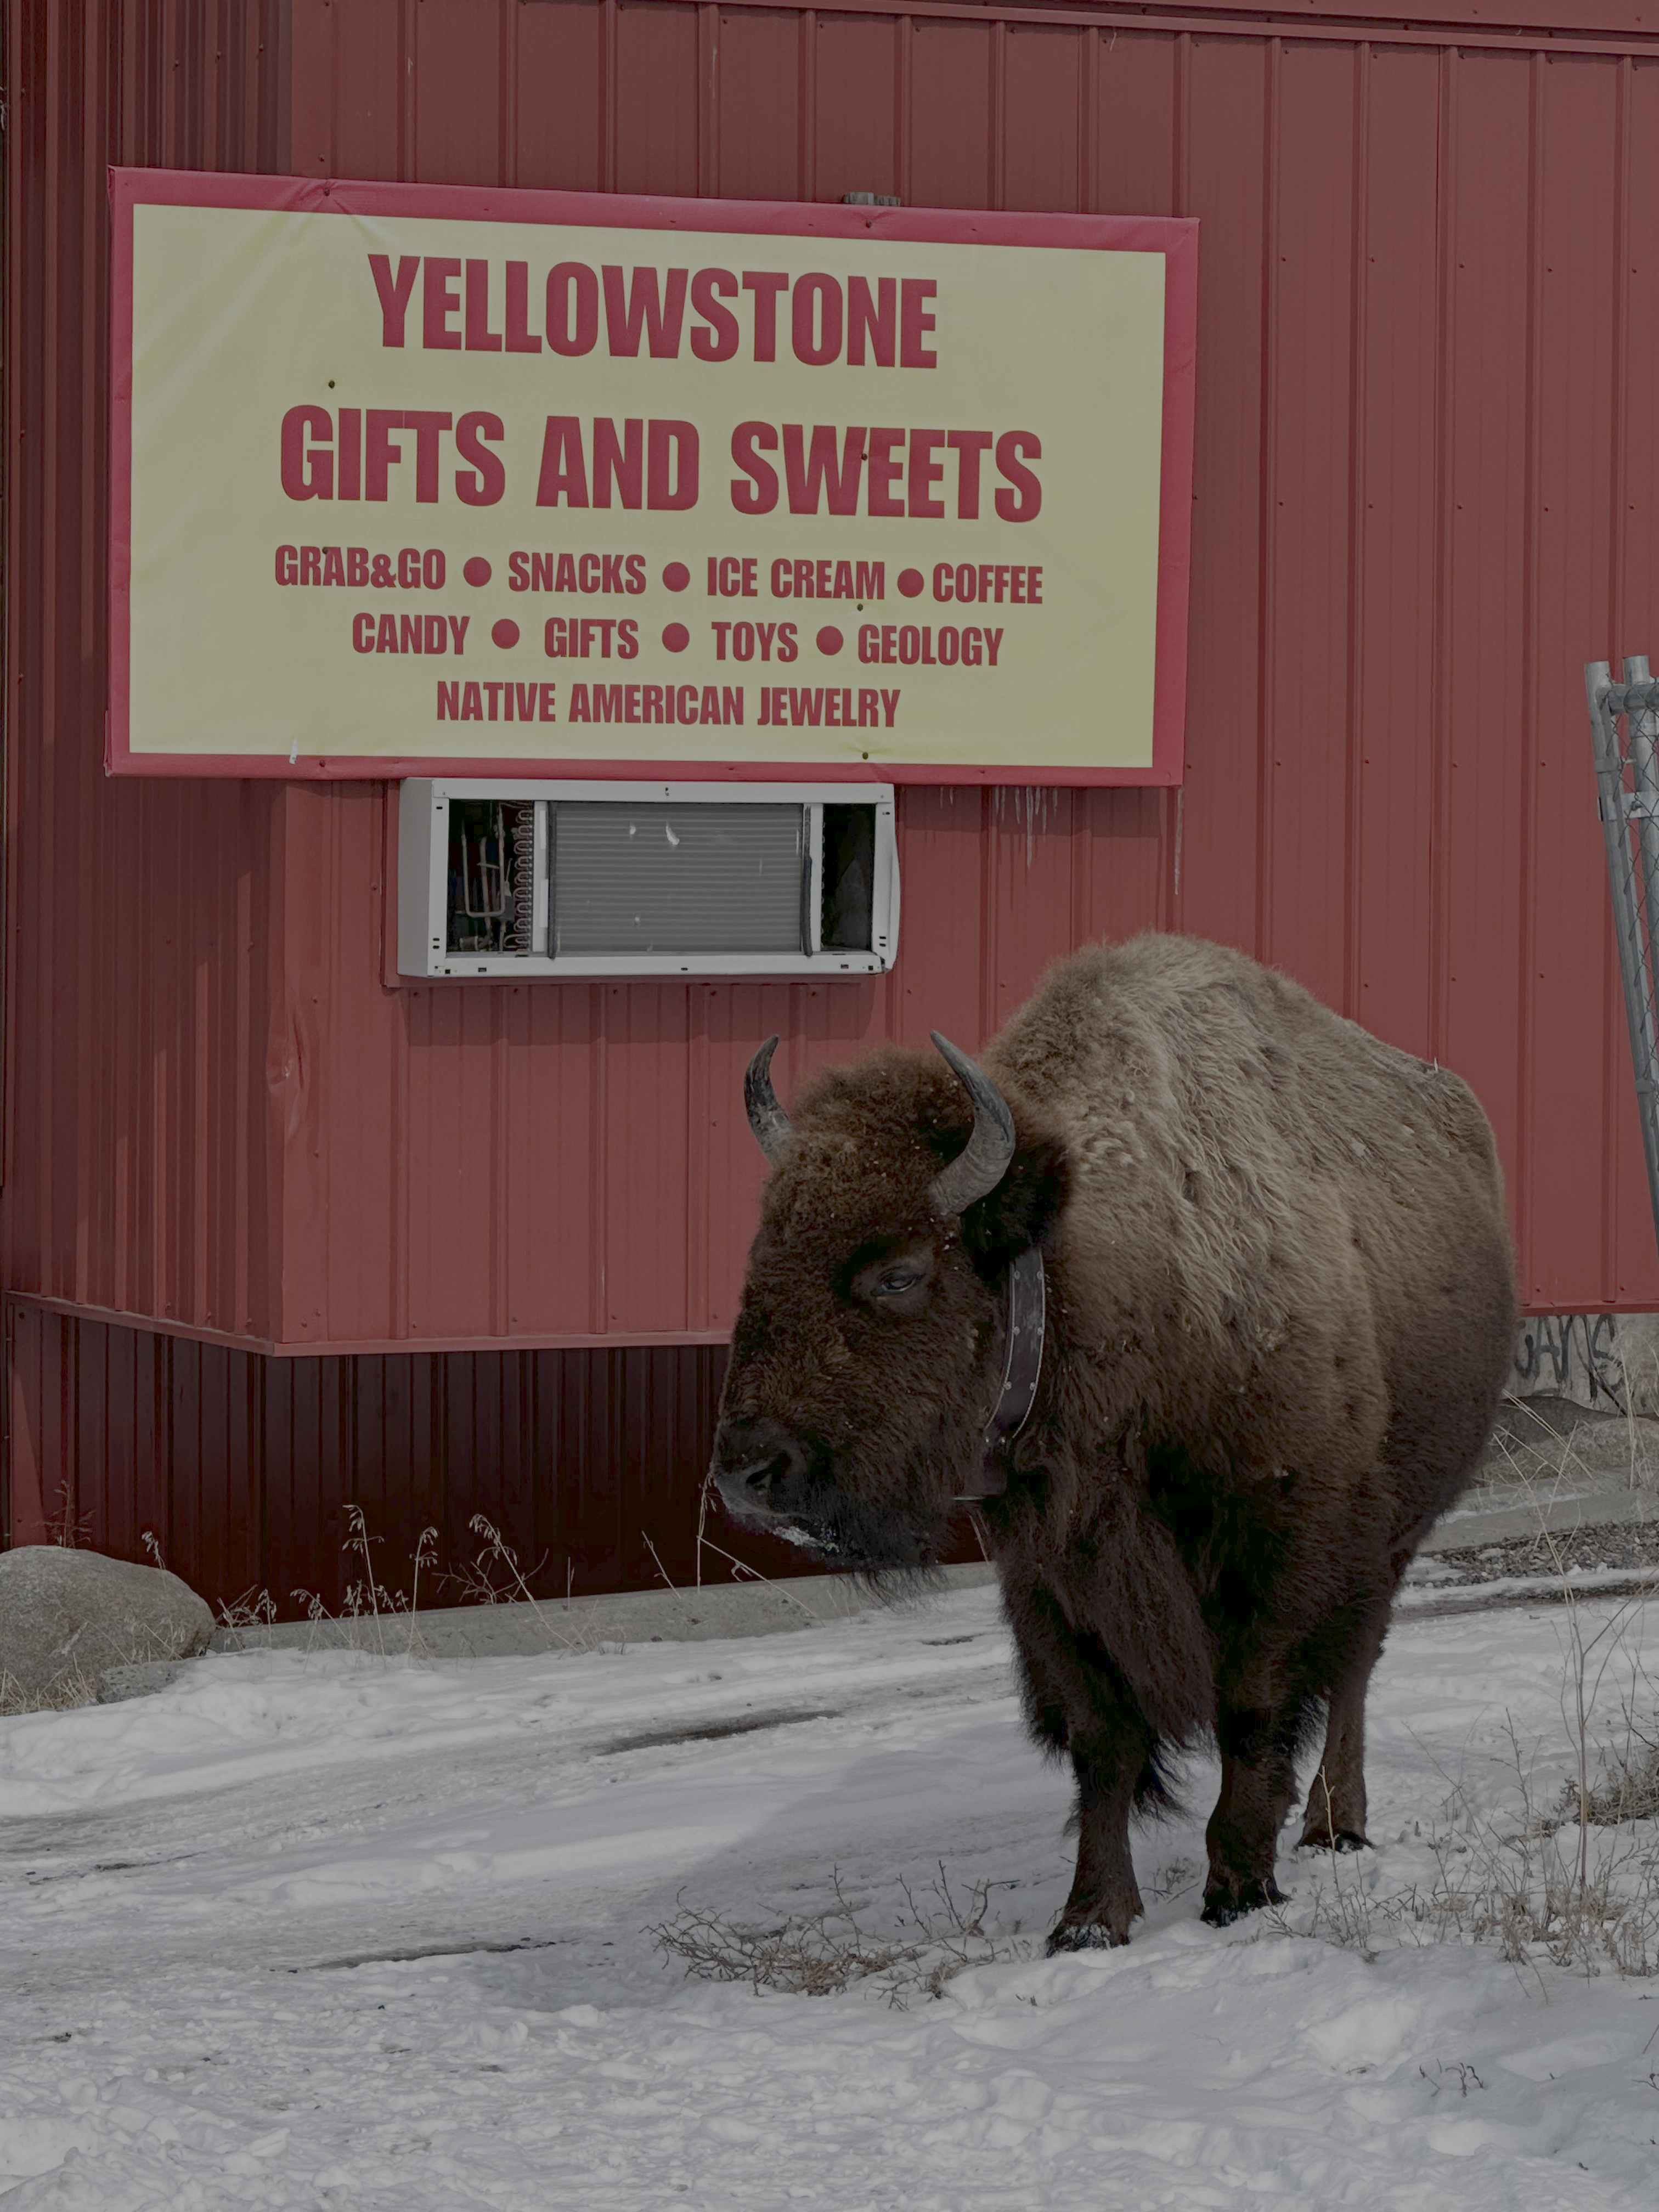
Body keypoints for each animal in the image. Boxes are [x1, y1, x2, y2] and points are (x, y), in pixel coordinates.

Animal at [711, 935, 1515, 1946]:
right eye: (760, 1256)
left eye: (898, 1272)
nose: (748, 1474)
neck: (1091, 1274)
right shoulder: (1048, 1577)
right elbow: (1101, 1741)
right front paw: (1090, 1918)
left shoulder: (1282, 1544)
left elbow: (1252, 1709)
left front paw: (1237, 1886)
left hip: (1396, 1534)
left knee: (1353, 1673)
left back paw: (1335, 1825)